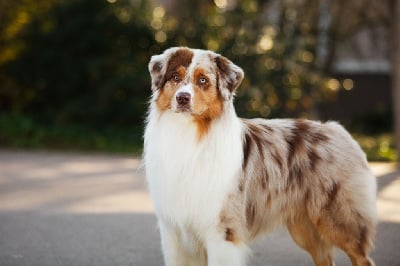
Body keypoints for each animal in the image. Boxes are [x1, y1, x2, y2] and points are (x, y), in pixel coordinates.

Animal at [145, 46, 378, 264]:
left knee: (363, 258)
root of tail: (339, 130)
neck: (188, 135)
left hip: (340, 220)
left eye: (203, 80)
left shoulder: (223, 230)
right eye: (175, 77)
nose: (182, 98)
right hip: (305, 228)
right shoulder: (173, 231)